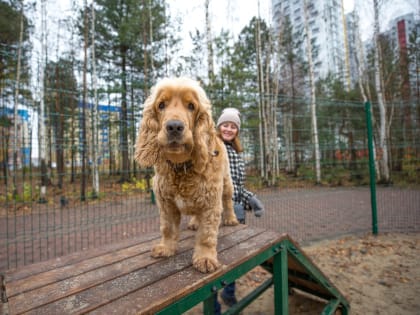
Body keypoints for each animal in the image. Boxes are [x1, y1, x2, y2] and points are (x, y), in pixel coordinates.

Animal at [135, 77, 238, 274]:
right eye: (161, 105)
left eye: (191, 106)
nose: (174, 127)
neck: (181, 166)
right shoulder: (166, 203)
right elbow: (167, 228)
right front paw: (166, 248)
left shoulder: (211, 202)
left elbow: (206, 234)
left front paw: (205, 258)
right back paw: (194, 222)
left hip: (227, 183)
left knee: (228, 201)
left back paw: (231, 219)